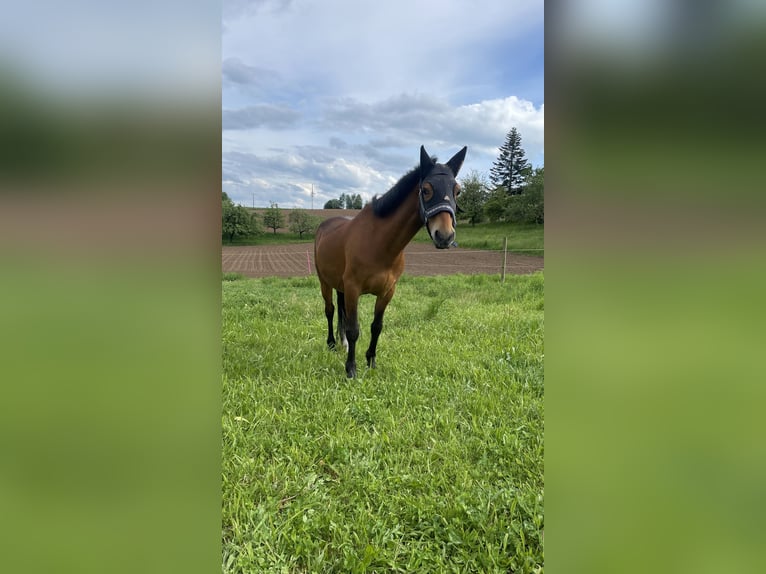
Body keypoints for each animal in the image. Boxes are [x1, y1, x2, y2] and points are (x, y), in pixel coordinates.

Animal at [316, 145, 472, 378]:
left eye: (457, 191)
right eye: (426, 189)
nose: (445, 236)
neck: (379, 243)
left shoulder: (387, 291)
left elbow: (376, 326)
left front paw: (371, 362)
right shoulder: (353, 289)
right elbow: (354, 330)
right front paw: (351, 369)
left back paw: (341, 344)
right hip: (324, 282)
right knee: (330, 310)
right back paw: (332, 343)